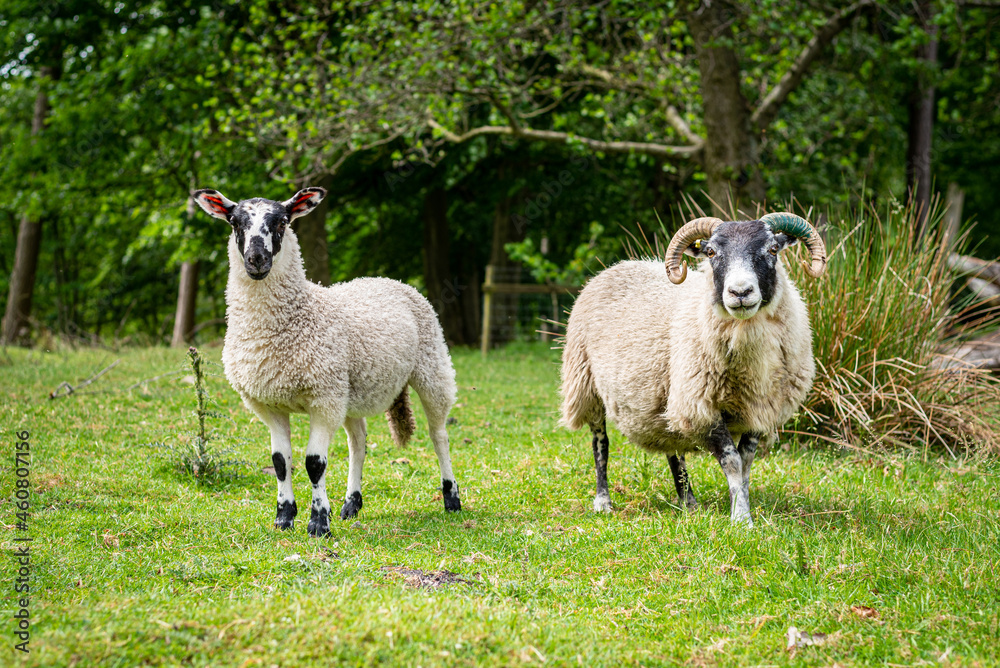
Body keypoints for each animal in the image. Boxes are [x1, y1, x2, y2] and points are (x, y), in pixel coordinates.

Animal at [192, 186, 461, 537]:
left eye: (282, 223)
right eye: (235, 223)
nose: (256, 259)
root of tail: (386, 279)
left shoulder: (323, 398)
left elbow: (314, 463)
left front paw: (318, 523)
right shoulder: (269, 404)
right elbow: (280, 462)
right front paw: (284, 518)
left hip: (431, 365)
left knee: (438, 434)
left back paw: (451, 498)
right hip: (350, 390)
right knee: (358, 442)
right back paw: (351, 504)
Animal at [560, 213, 827, 526]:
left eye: (773, 249)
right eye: (711, 253)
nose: (740, 292)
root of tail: (615, 266)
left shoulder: (760, 408)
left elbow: (745, 463)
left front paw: (742, 507)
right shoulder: (702, 406)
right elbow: (733, 461)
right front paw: (741, 519)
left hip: (664, 399)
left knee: (673, 448)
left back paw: (688, 502)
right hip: (586, 384)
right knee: (600, 444)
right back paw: (603, 501)